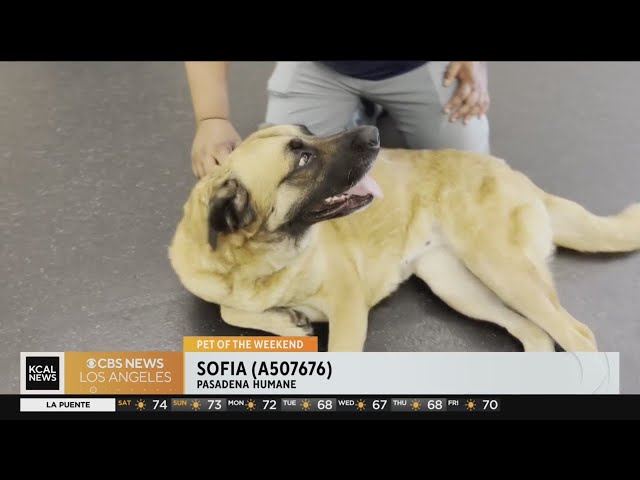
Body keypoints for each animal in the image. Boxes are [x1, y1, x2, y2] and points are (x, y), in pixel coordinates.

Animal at [169, 124, 640, 352]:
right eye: (302, 159)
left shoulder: (349, 308)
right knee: (537, 335)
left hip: (502, 270)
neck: (261, 263)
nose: (373, 133)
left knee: (578, 335)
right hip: (461, 288)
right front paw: (285, 321)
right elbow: (229, 311)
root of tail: (513, 173)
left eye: (308, 131)